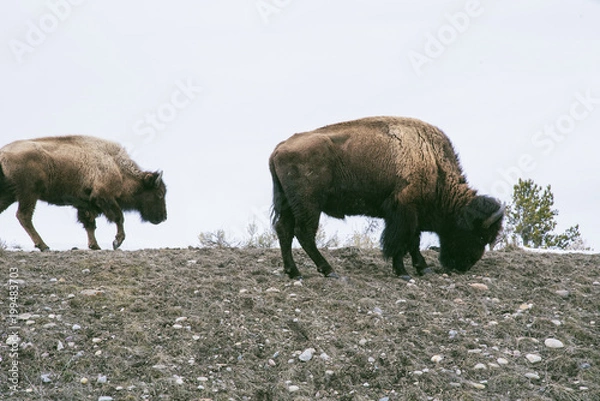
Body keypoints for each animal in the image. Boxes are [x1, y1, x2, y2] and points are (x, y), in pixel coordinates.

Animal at [0, 137, 166, 250]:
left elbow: (90, 224)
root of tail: (3, 153)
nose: (163, 217)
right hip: (29, 194)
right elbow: (119, 217)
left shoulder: (85, 203)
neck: (116, 166)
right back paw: (43, 246)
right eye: (159, 193)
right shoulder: (104, 197)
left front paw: (95, 246)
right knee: (24, 216)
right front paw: (116, 242)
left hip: (10, 195)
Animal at [270, 115, 504, 278]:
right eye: (480, 235)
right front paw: (403, 272)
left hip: (288, 204)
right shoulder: (404, 211)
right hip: (309, 205)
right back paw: (329, 271)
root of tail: (278, 149)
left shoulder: (413, 214)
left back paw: (294, 272)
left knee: (284, 230)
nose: (464, 265)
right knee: (304, 233)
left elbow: (413, 241)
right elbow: (400, 241)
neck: (432, 162)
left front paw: (422, 269)